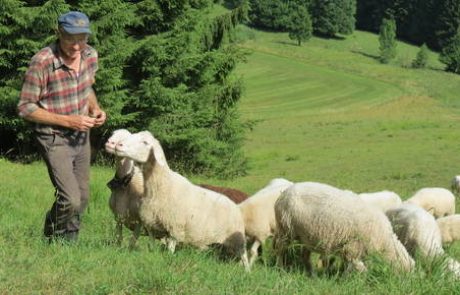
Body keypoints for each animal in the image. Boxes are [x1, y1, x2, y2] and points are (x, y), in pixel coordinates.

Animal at [115, 132, 252, 272]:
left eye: (145, 142)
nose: (118, 145)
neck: (162, 186)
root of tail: (236, 206)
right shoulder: (151, 226)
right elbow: (151, 247)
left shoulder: (174, 229)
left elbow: (170, 251)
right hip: (218, 242)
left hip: (237, 239)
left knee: (244, 257)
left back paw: (247, 272)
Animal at [274, 182, 414, 276]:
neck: (384, 241)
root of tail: (284, 193)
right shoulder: (352, 247)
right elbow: (360, 268)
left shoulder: (349, 249)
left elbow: (349, 266)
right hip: (285, 229)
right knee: (280, 249)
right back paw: (281, 268)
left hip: (305, 236)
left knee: (305, 256)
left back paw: (312, 274)